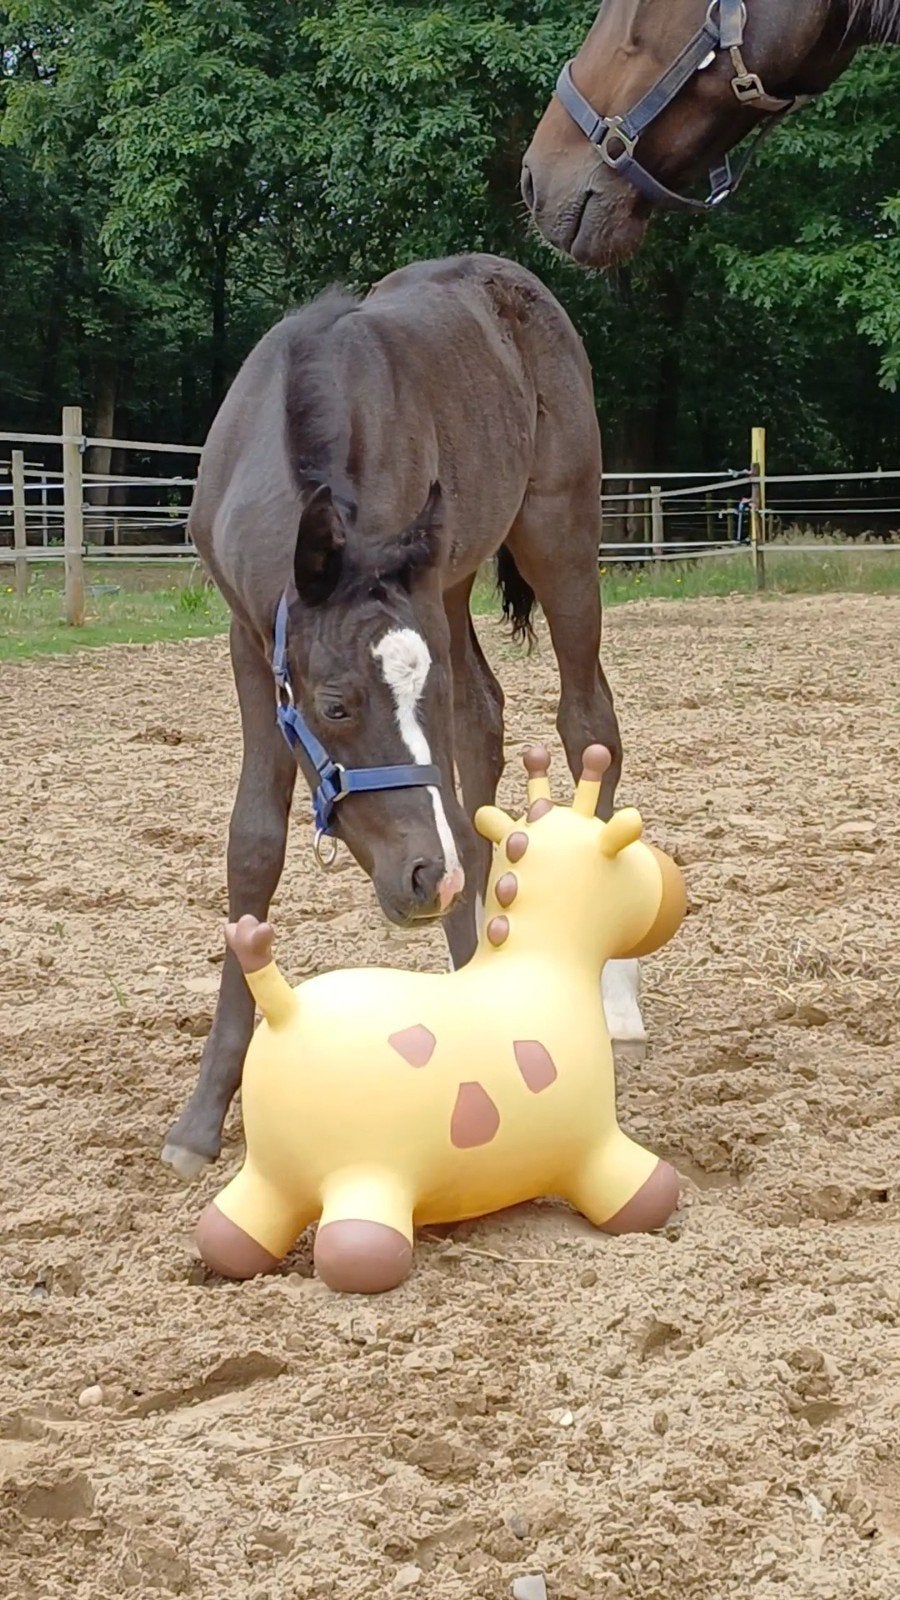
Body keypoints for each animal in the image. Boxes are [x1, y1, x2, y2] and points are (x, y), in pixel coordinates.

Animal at [161, 252, 645, 1181]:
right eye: (337, 706)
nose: (429, 879)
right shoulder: (250, 640)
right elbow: (254, 843)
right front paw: (202, 1115)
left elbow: (449, 794)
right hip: (451, 581)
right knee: (489, 716)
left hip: (557, 528)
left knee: (586, 721)